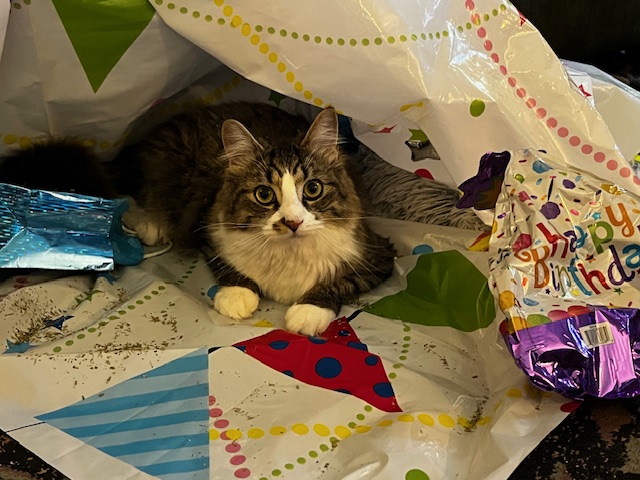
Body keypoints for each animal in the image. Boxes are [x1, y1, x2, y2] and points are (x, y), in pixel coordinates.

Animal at [115, 102, 396, 335]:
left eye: (313, 189)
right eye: (264, 194)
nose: (293, 223)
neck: (289, 254)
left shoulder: (378, 256)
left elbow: (341, 282)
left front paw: (308, 311)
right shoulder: (205, 227)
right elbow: (227, 268)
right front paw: (237, 295)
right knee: (132, 192)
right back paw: (149, 223)